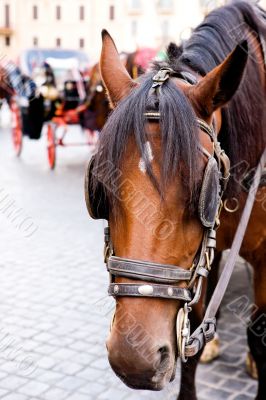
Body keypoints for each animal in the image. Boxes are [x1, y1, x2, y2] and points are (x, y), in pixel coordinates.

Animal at [89, 1, 266, 398]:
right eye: (101, 187)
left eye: (203, 189)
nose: (133, 358)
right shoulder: (206, 254)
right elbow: (193, 328)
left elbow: (260, 333)